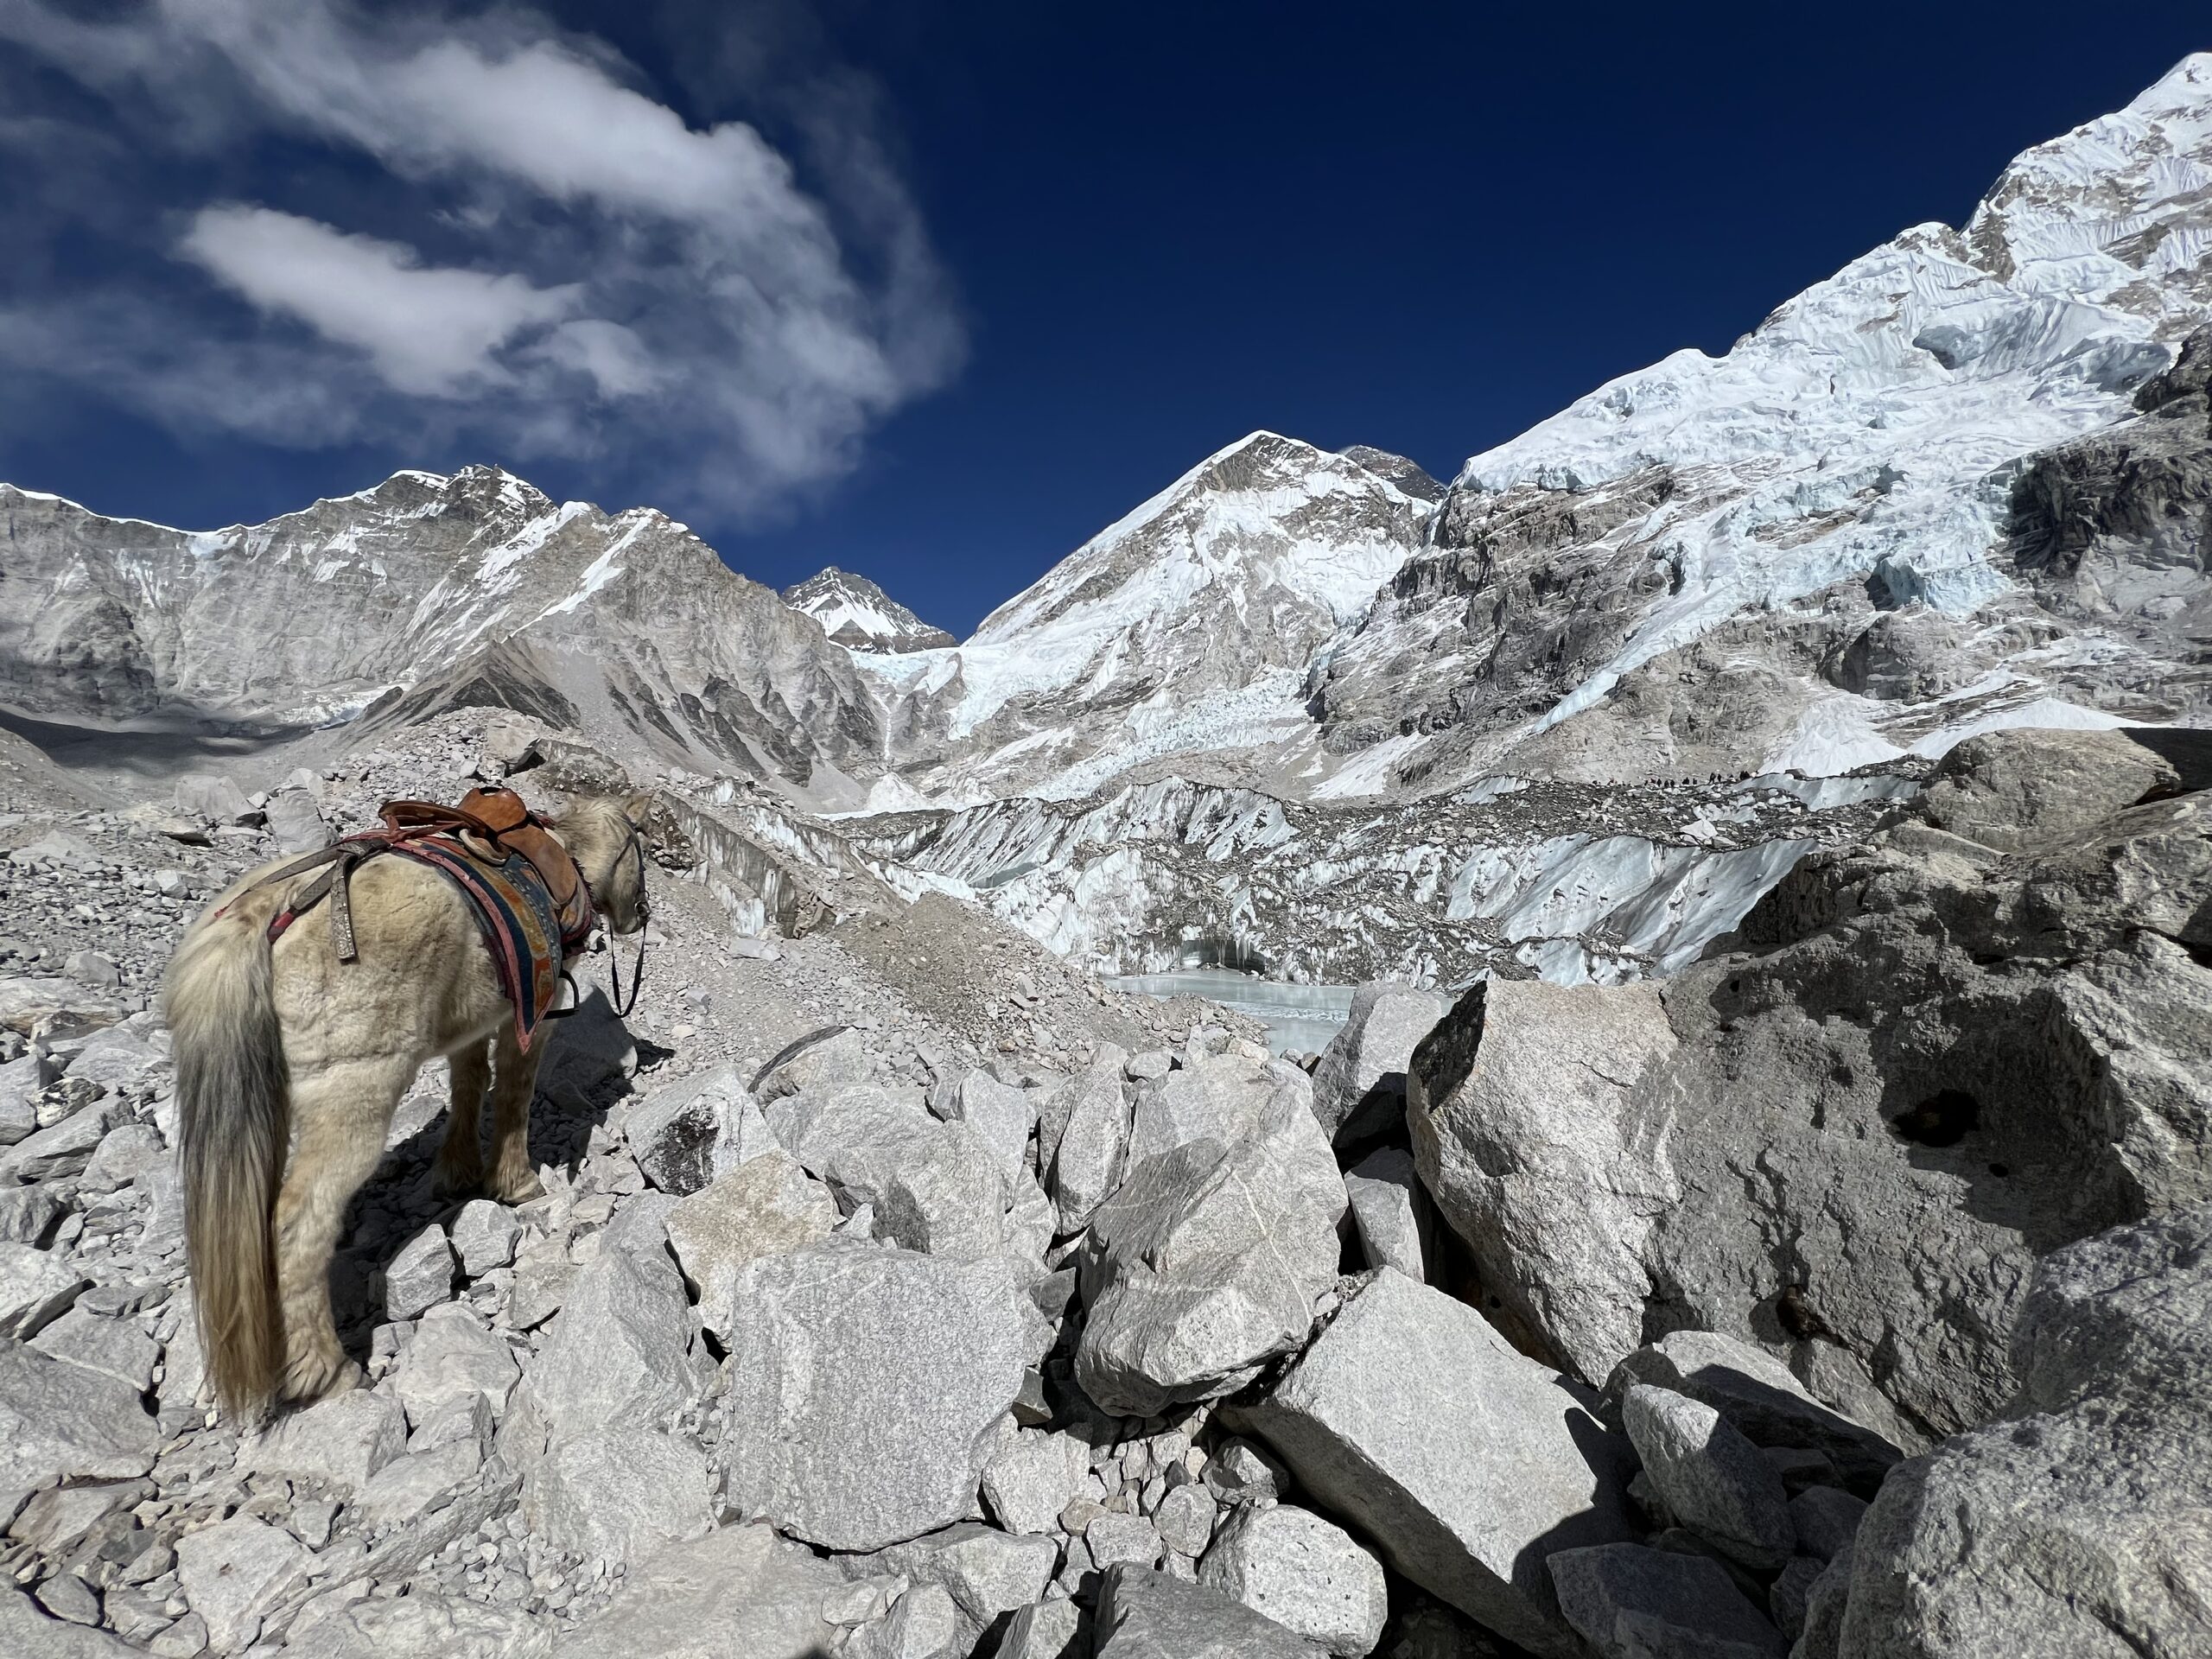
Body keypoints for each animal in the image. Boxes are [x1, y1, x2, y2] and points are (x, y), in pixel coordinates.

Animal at [164, 800, 650, 1424]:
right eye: (641, 850)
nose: (641, 914)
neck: (565, 867)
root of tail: (264, 915)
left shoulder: (476, 1020)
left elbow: (469, 1084)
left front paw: (458, 1174)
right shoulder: (532, 1019)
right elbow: (513, 1092)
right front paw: (516, 1183)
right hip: (353, 1098)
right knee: (298, 1222)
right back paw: (327, 1372)